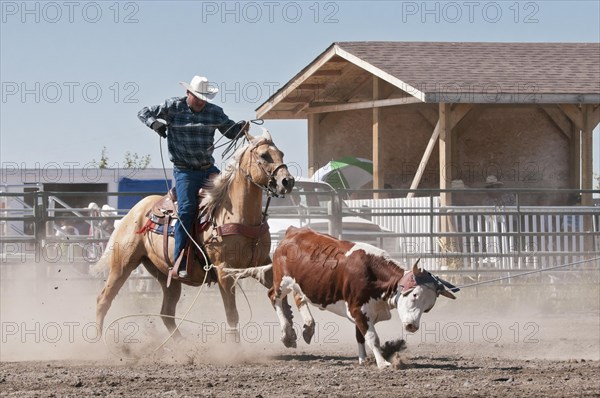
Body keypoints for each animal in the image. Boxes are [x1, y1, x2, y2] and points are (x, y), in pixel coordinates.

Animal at [93, 130, 296, 338]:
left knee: (166, 312)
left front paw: (290, 333)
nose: (287, 181)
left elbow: (280, 296)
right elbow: (232, 315)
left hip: (165, 274)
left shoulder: (263, 264)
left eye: (281, 153)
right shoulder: (224, 272)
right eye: (264, 155)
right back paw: (100, 340)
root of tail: (134, 211)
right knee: (103, 300)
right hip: (123, 264)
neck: (239, 216)